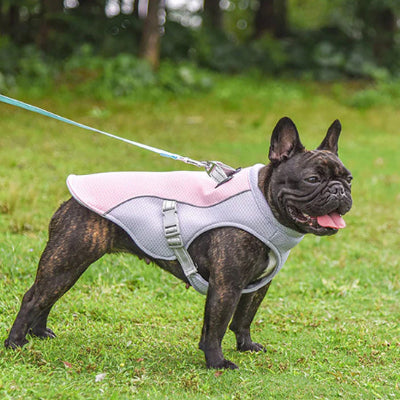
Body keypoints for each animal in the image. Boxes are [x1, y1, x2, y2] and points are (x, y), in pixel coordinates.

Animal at [3, 116, 354, 368]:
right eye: (312, 179)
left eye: (349, 179)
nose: (339, 190)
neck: (264, 204)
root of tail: (69, 197)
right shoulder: (226, 285)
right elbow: (216, 325)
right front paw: (217, 363)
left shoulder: (256, 286)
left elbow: (242, 319)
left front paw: (245, 346)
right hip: (67, 260)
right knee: (33, 298)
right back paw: (16, 343)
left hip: (70, 265)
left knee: (48, 298)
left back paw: (39, 333)